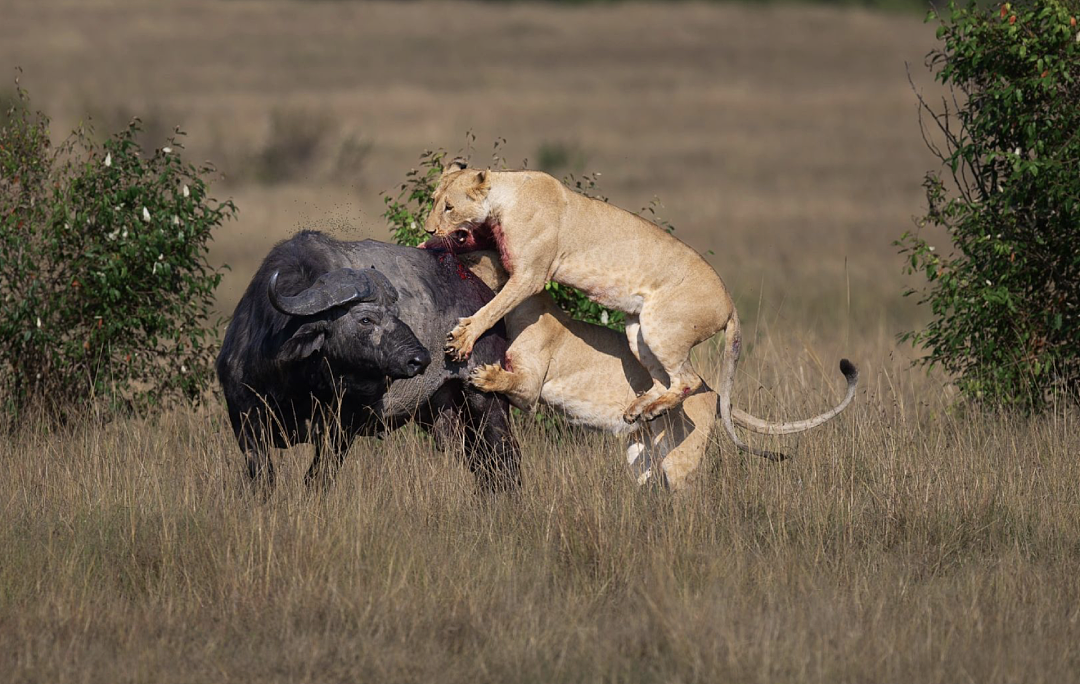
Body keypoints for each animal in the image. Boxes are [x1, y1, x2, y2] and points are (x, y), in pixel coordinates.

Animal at [216, 229, 518, 490]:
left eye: (396, 313)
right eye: (365, 319)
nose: (420, 358)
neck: (293, 381)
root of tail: (485, 296)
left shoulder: (340, 430)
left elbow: (317, 479)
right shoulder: (245, 423)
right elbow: (263, 479)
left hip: (484, 398)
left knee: (504, 456)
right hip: (441, 412)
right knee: (477, 461)